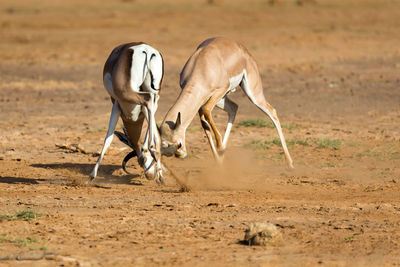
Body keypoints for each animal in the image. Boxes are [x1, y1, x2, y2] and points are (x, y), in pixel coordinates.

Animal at [90, 42, 166, 184]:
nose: (150, 175)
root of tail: (146, 50)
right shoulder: (141, 109)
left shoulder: (116, 105)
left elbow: (108, 138)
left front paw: (92, 175)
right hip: (155, 93)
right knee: (152, 100)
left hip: (128, 92)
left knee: (147, 98)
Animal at [159, 37, 294, 169]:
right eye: (164, 146)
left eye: (178, 144)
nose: (180, 155)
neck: (202, 67)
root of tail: (242, 49)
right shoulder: (200, 101)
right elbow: (205, 125)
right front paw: (219, 159)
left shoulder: (220, 90)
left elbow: (207, 112)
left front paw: (219, 146)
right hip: (221, 99)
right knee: (234, 107)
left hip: (251, 93)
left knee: (272, 111)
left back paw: (290, 163)